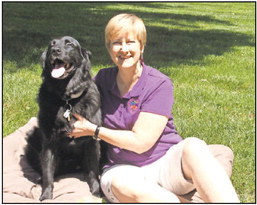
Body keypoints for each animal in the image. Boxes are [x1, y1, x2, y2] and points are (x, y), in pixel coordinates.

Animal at [25, 36, 101, 201]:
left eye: (69, 44)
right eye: (51, 45)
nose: (55, 50)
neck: (67, 100)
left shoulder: (92, 141)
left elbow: (93, 170)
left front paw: (97, 191)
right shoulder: (49, 142)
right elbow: (48, 173)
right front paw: (46, 195)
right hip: (33, 136)